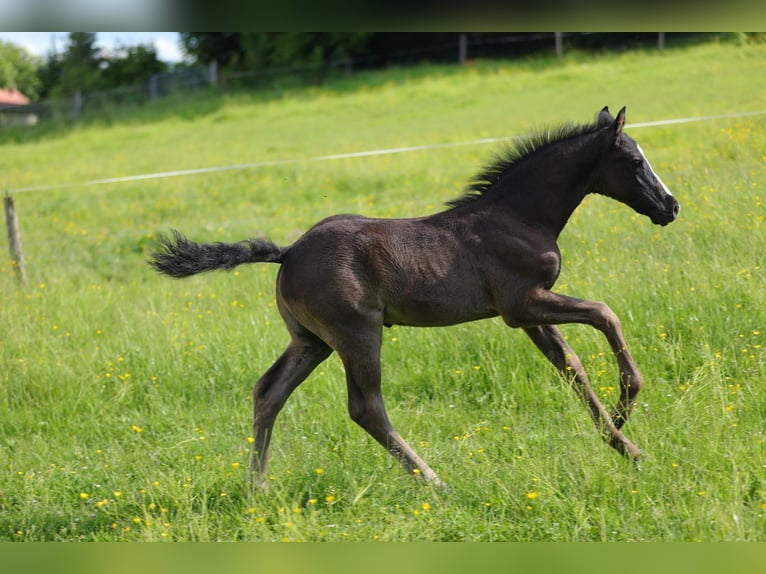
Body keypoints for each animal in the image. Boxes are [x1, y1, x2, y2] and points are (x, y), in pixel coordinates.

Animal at [149, 106, 679, 490]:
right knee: (366, 407)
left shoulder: (530, 312)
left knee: (268, 391)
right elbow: (605, 314)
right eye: (634, 162)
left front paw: (625, 444)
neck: (518, 215)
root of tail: (288, 252)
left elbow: (571, 368)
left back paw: (257, 487)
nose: (671, 206)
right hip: (357, 333)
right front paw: (627, 404)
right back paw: (434, 481)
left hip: (310, 341)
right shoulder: (521, 304)